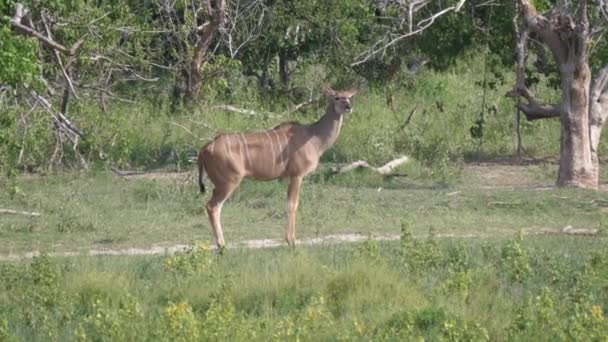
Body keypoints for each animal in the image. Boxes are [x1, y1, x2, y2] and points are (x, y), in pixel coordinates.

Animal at [197, 85, 356, 246]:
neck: (315, 138)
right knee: (212, 206)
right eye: (336, 97)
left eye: (349, 97)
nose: (348, 107)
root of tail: (205, 148)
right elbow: (293, 204)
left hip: (221, 184)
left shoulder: (290, 177)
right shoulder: (297, 175)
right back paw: (221, 244)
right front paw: (291, 240)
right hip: (229, 182)